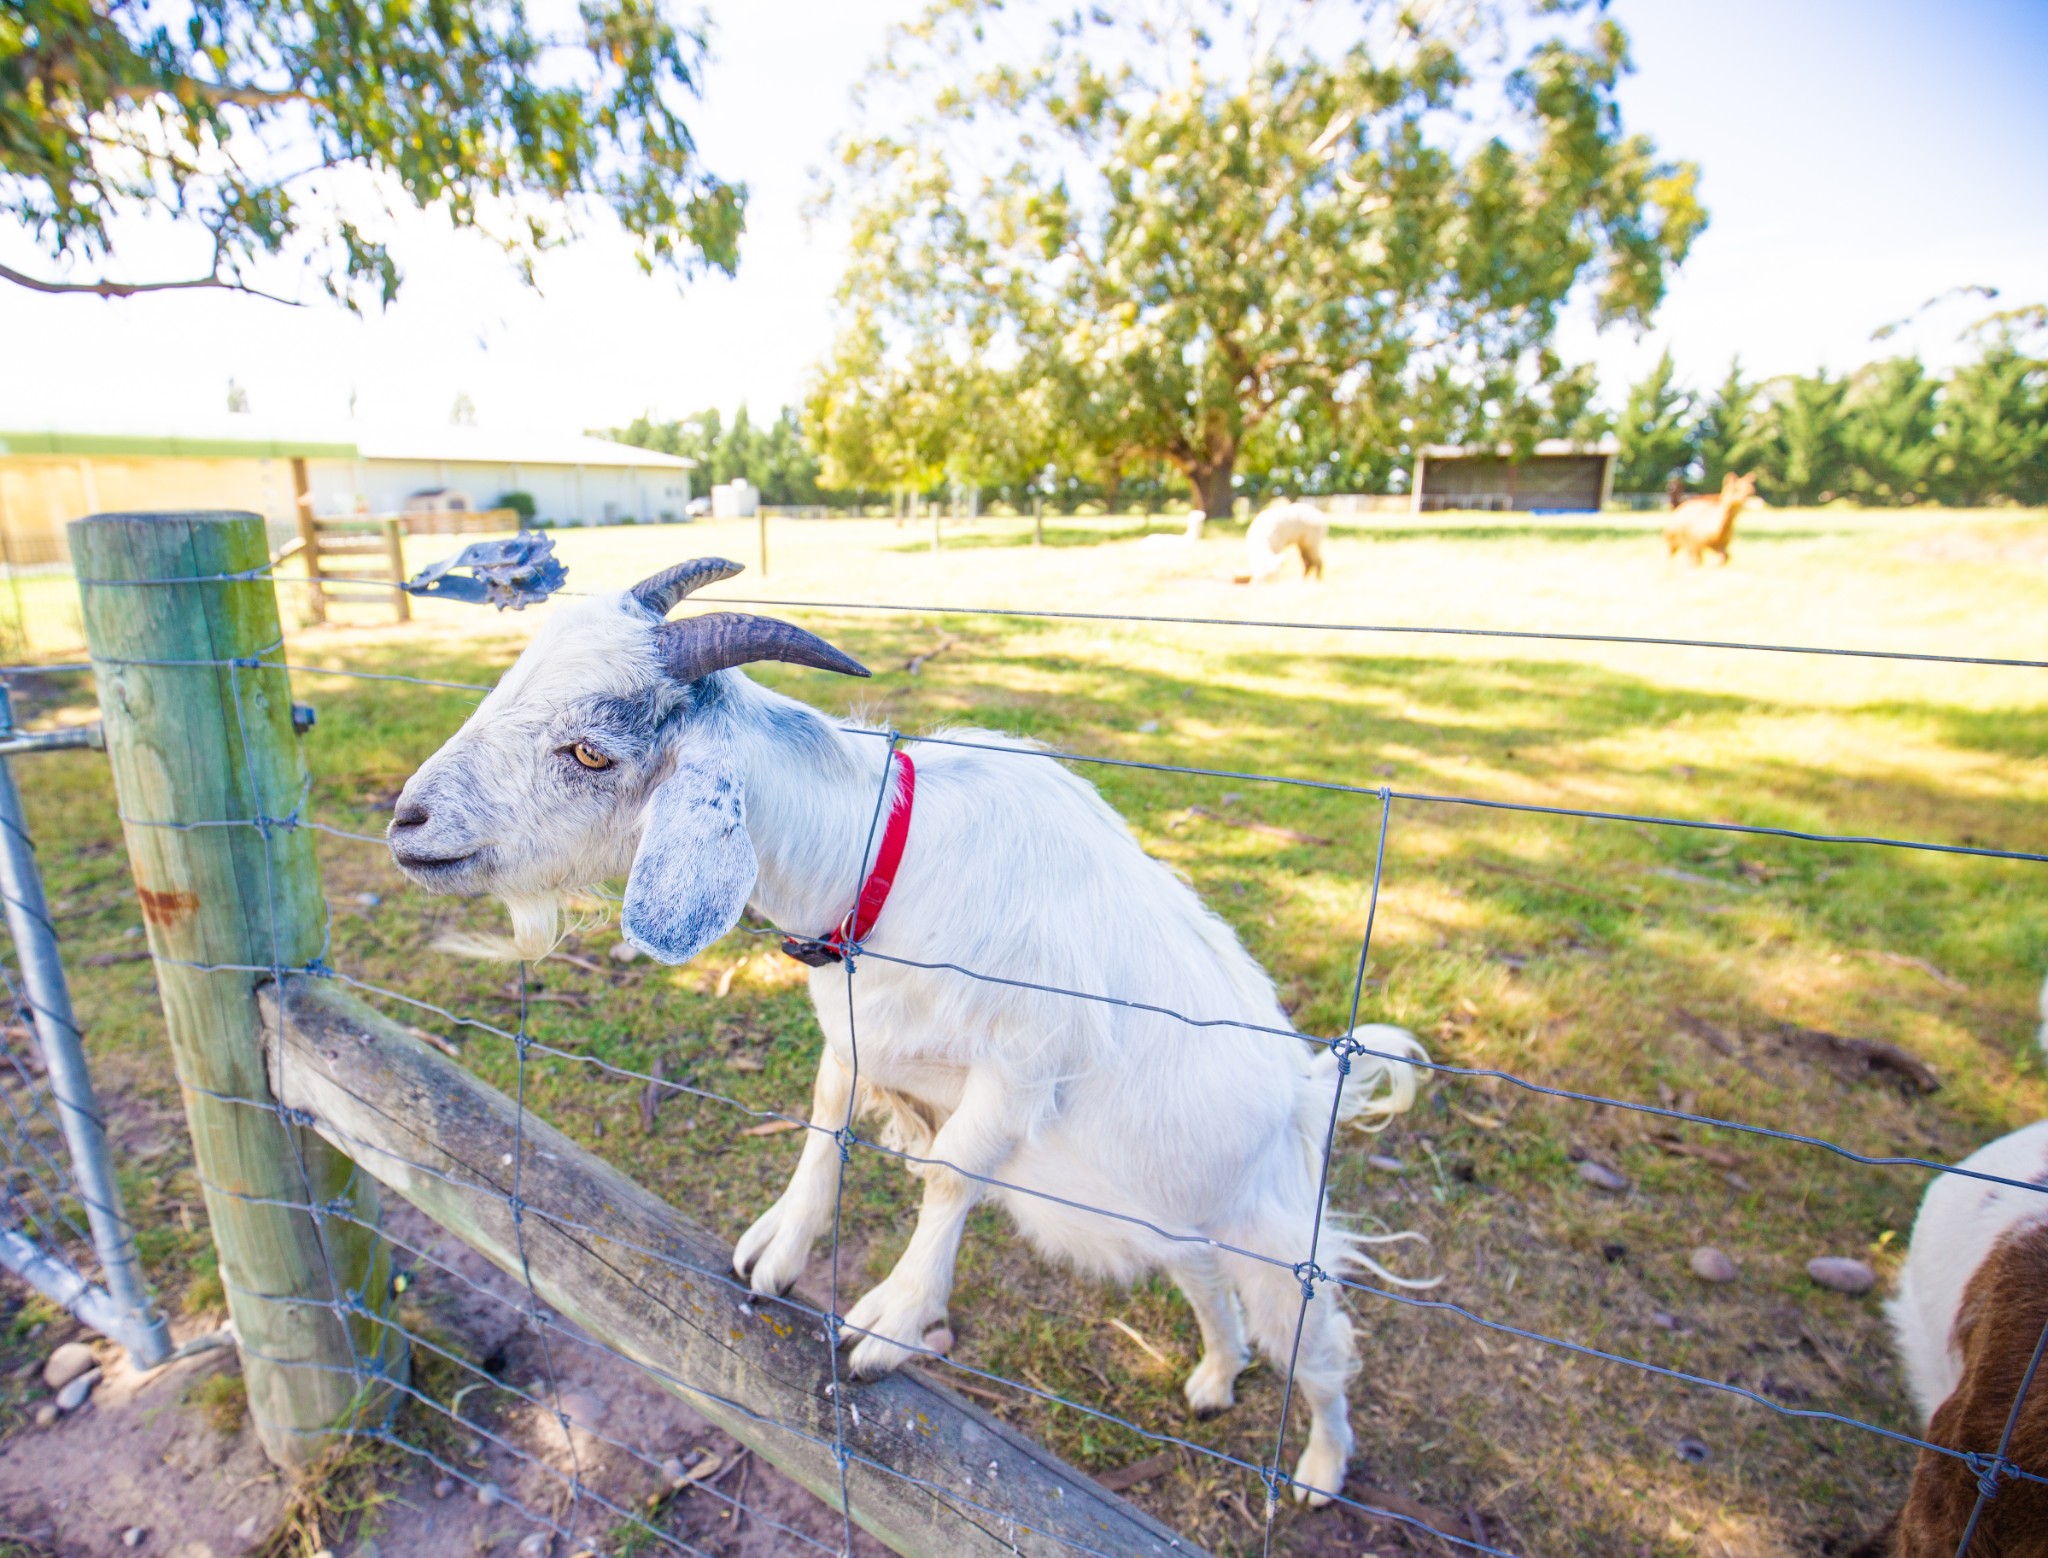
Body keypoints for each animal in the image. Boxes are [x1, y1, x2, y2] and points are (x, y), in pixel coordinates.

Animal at [391, 552, 1433, 1498]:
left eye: (591, 753)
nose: (408, 823)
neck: (884, 865)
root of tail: (1308, 1094)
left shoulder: (1023, 1064)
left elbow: (950, 1176)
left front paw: (890, 1321)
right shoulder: (859, 1040)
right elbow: (825, 1123)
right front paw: (777, 1250)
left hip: (1280, 1245)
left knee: (1320, 1355)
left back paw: (1319, 1470)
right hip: (1171, 1216)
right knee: (1206, 1284)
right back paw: (1215, 1378)